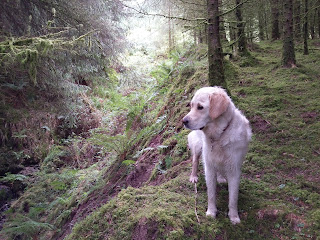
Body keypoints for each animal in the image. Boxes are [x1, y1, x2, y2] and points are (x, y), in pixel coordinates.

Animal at [184, 86, 251, 225]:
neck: (219, 135)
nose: (184, 121)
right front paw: (211, 212)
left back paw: (220, 178)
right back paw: (193, 176)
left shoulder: (234, 170)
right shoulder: (209, 167)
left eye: (200, 107)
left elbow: (233, 197)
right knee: (195, 160)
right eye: (191, 106)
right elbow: (211, 193)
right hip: (198, 146)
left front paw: (234, 217)